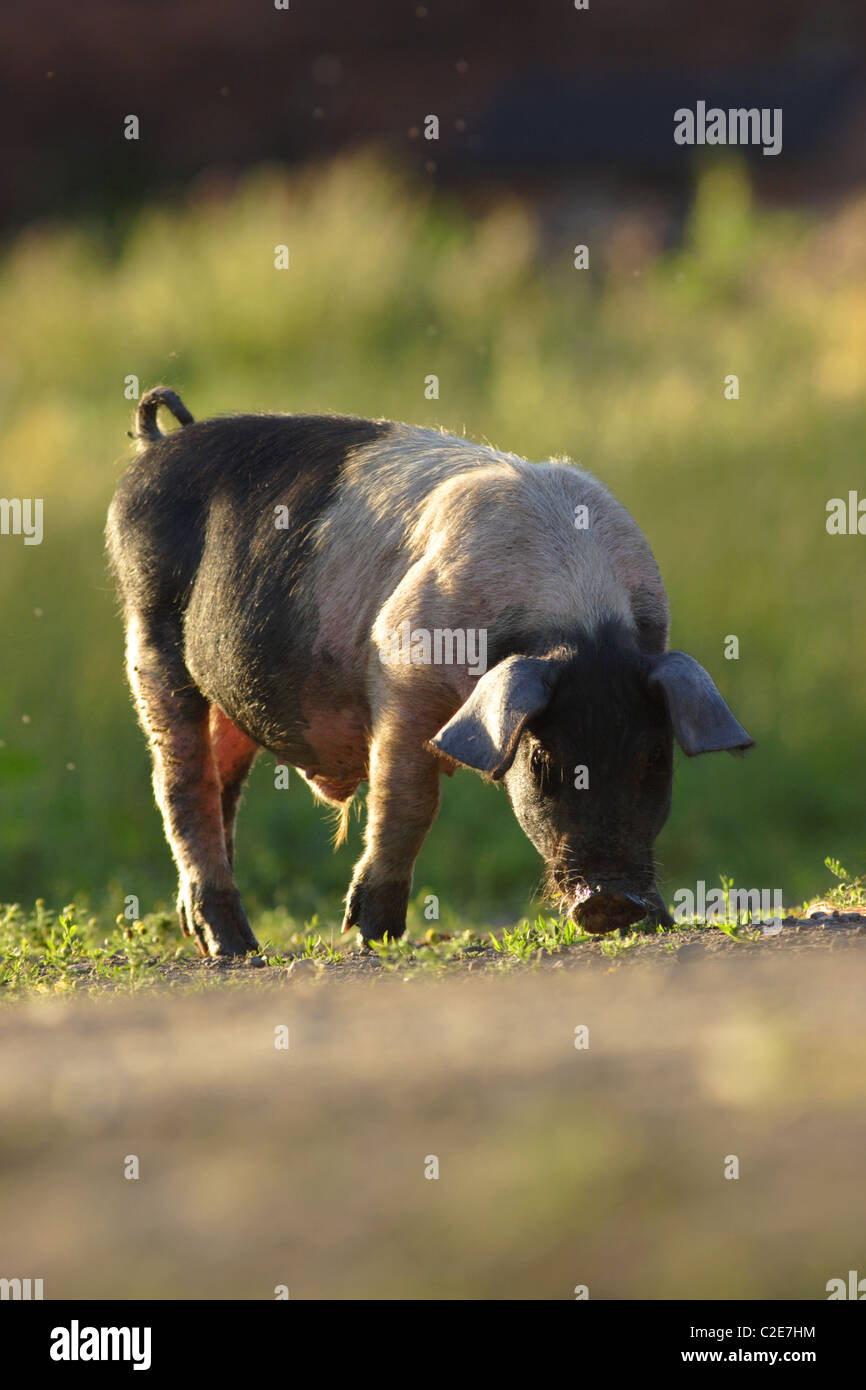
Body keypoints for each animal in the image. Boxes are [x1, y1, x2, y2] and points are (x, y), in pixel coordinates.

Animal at [107, 391, 750, 956]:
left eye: (656, 758)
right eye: (544, 762)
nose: (611, 901)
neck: (576, 620)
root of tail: (157, 445)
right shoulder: (401, 676)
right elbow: (408, 803)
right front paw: (372, 937)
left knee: (224, 784)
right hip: (148, 634)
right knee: (180, 783)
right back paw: (239, 950)